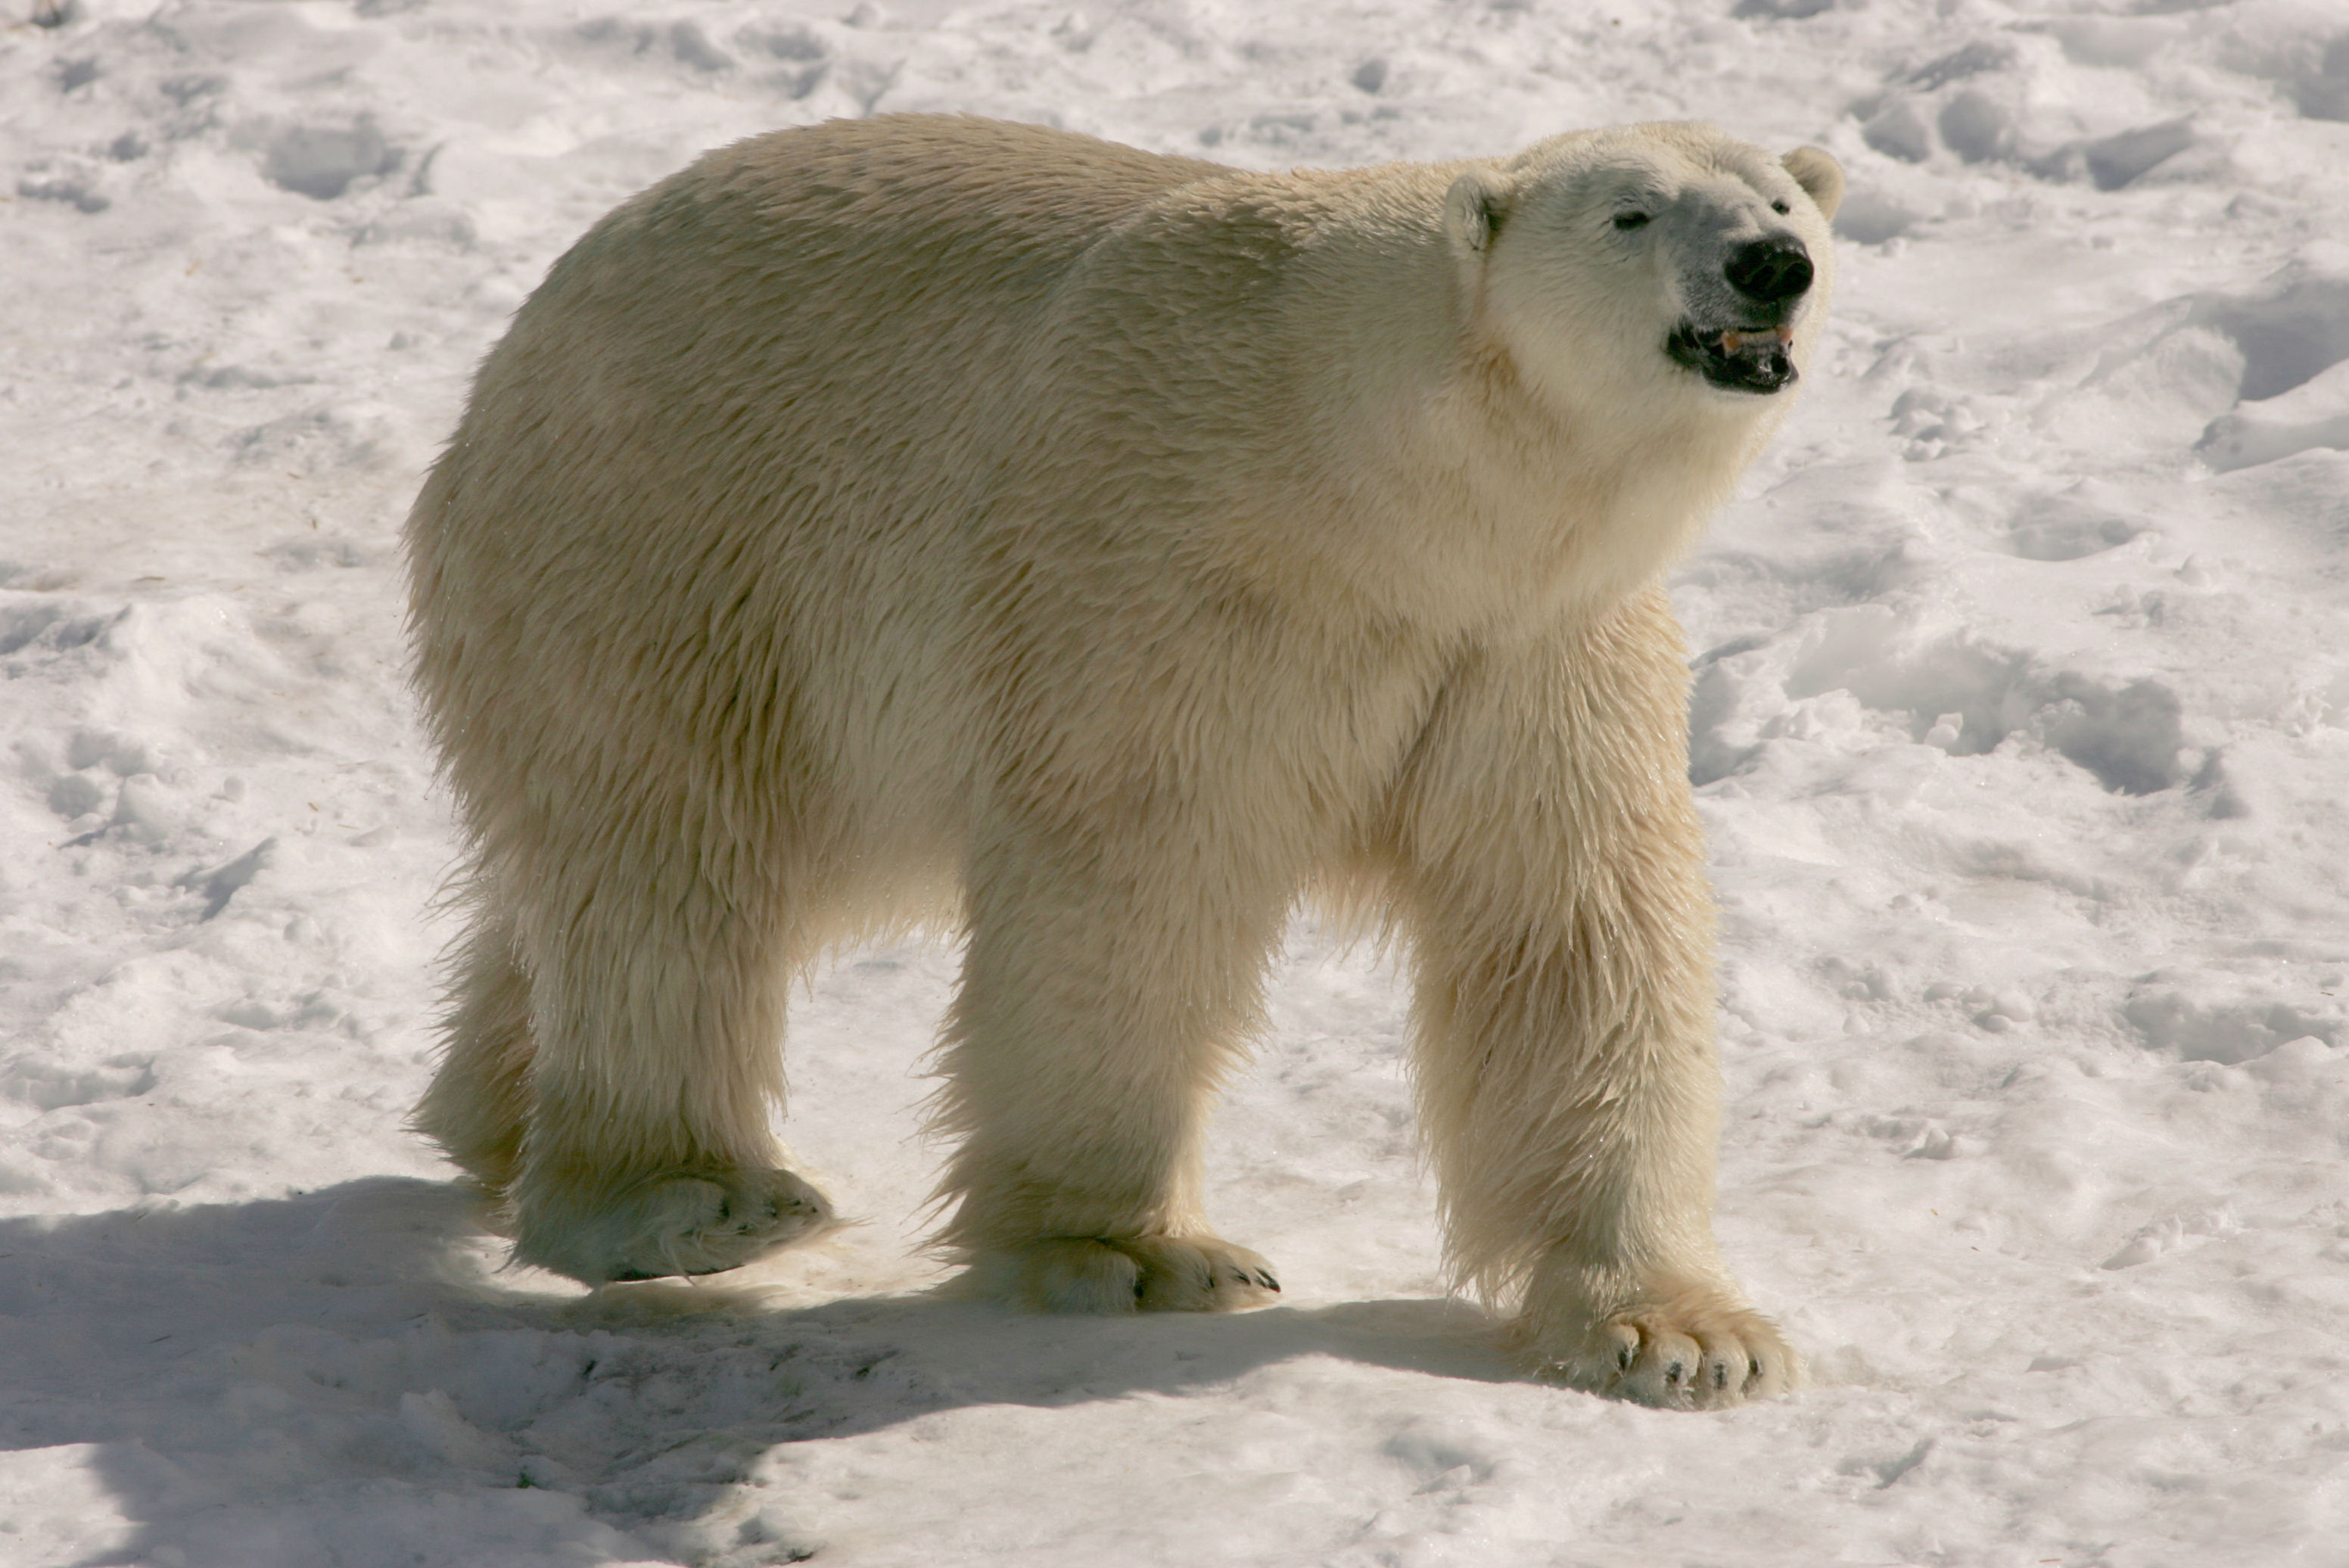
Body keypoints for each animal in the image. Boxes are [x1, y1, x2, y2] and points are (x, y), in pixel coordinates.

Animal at [399, 113, 1832, 1408]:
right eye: (1631, 213)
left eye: (1778, 194)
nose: (1771, 263)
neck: (1389, 486)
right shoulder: (1186, 571)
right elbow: (1141, 877)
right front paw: (1135, 1250)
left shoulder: (1529, 645)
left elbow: (1571, 925)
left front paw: (1680, 1334)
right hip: (666, 541)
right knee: (669, 861)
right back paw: (685, 1196)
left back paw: (492, 1113)